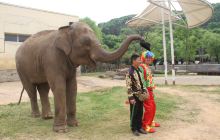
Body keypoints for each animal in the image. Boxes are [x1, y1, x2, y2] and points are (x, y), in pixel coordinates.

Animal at [15, 21, 143, 132]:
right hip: (21, 68)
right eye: (86, 42)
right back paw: (36, 116)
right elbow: (59, 87)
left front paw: (74, 125)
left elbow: (72, 87)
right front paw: (61, 130)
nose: (142, 38)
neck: (66, 29)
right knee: (31, 90)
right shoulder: (52, 59)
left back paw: (47, 117)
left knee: (43, 89)